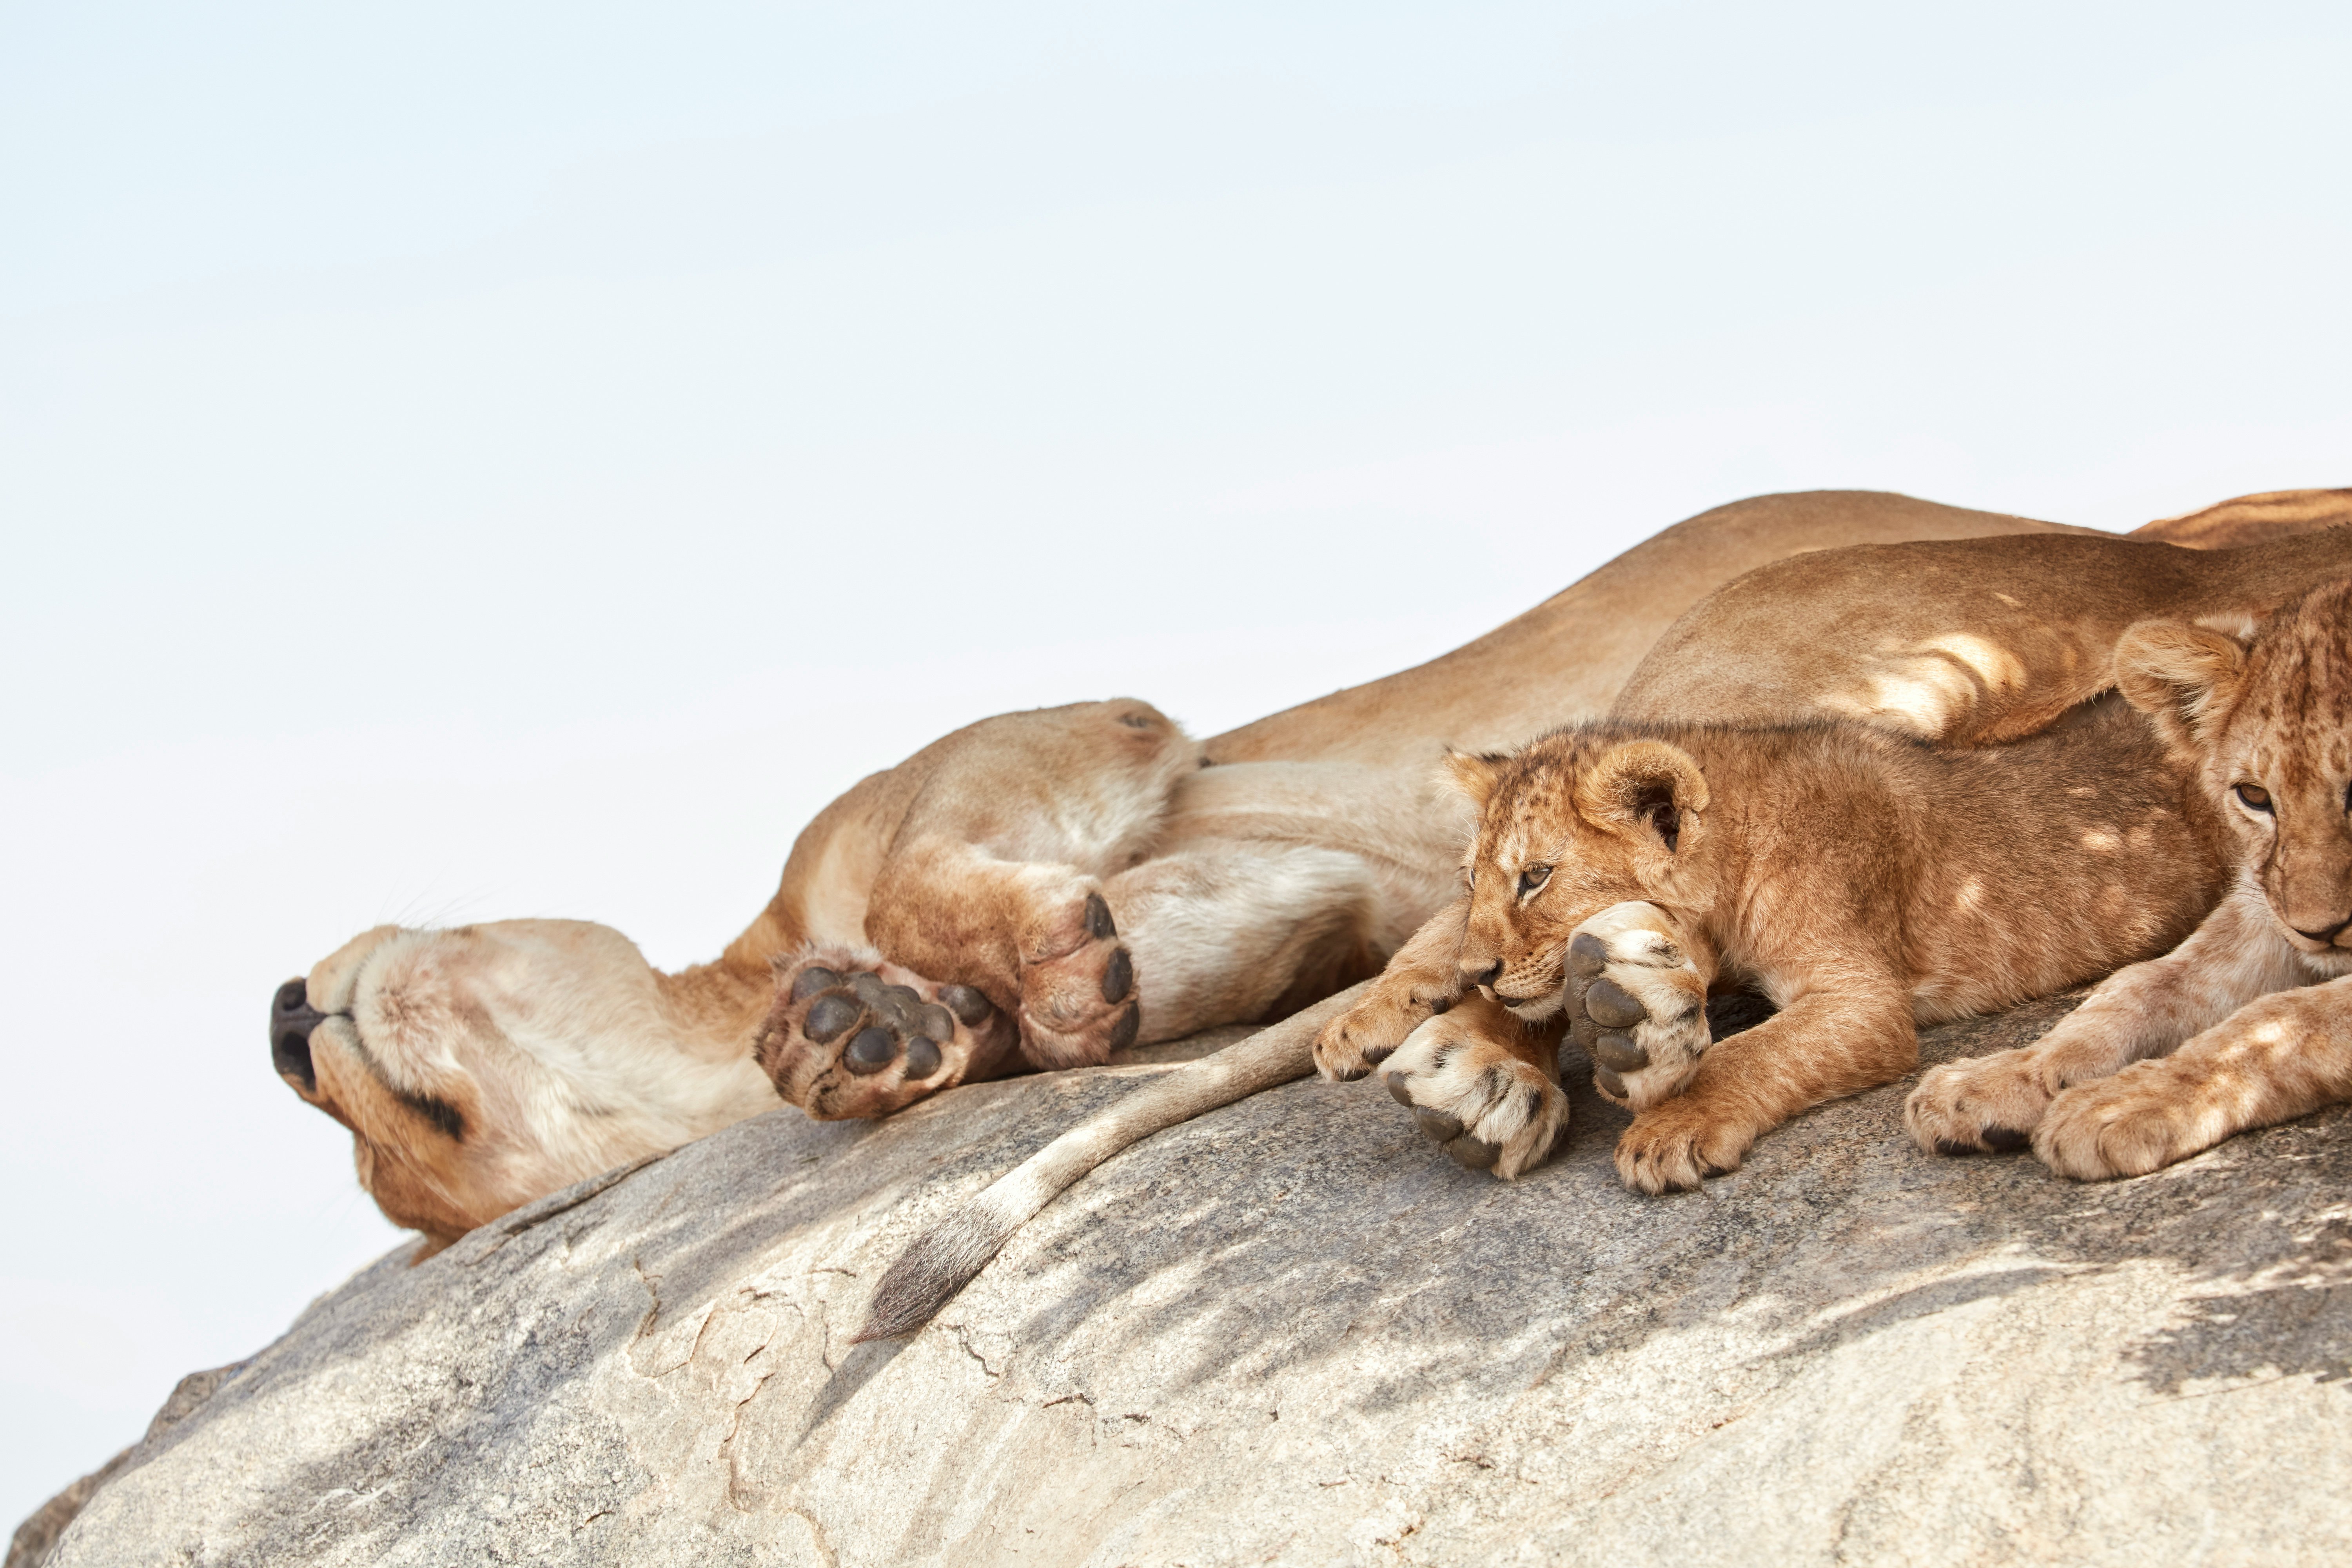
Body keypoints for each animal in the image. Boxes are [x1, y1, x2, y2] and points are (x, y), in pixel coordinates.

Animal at [1904, 574, 2352, 1180]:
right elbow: (2143, 983)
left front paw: (2121, 1103)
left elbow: (2283, 1020)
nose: (2319, 932)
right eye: (2255, 797)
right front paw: (2004, 1078)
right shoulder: (2265, 907)